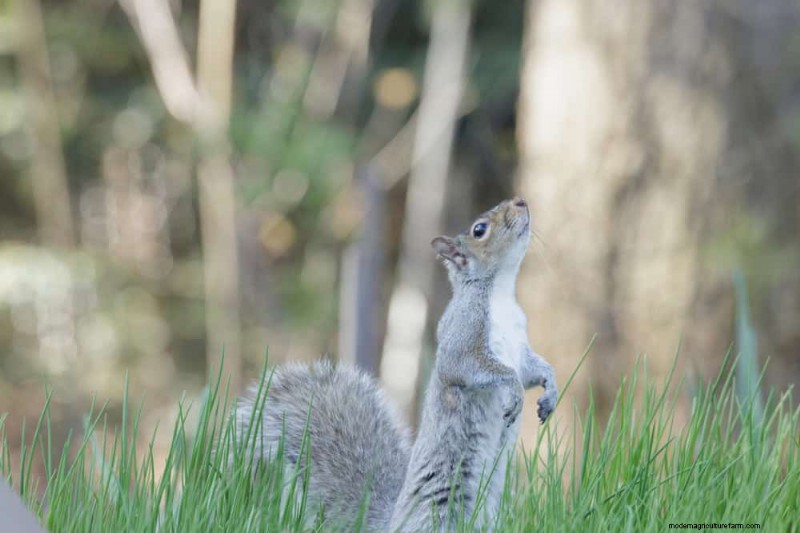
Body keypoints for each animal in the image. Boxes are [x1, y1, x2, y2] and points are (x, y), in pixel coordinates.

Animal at [233, 197, 557, 531]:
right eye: (479, 230)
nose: (521, 201)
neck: (500, 292)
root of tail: (390, 523)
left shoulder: (521, 347)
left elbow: (533, 371)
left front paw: (550, 392)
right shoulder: (462, 340)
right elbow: (476, 370)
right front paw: (514, 391)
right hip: (439, 508)